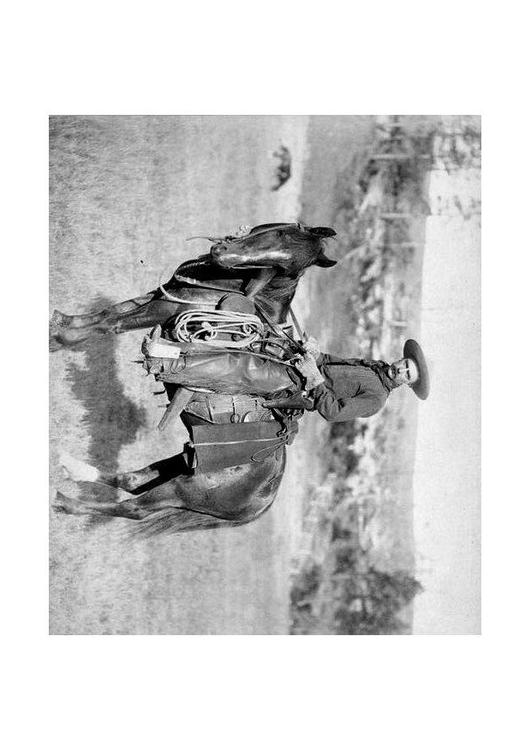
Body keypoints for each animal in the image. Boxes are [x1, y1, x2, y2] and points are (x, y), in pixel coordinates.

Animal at [53, 223, 336, 536]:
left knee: (134, 508)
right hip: (183, 462)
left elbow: (109, 322)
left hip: (183, 490)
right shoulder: (161, 296)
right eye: (280, 235)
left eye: (285, 267)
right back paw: (71, 467)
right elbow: (110, 312)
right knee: (133, 481)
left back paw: (61, 501)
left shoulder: (163, 308)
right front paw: (62, 321)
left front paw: (59, 338)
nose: (221, 252)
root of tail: (264, 500)